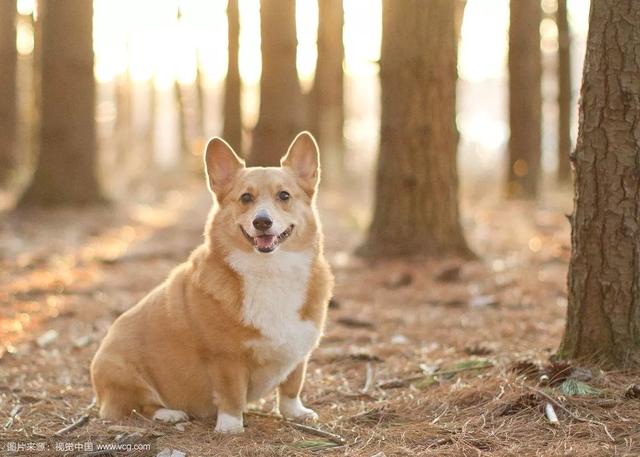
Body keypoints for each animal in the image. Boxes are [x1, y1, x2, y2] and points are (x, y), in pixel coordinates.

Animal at [90, 131, 336, 432]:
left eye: (284, 196)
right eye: (245, 197)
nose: (262, 222)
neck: (270, 270)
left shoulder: (299, 353)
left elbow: (291, 387)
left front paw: (295, 413)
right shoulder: (225, 359)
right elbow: (231, 394)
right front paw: (230, 426)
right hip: (121, 370)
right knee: (141, 406)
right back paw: (169, 414)